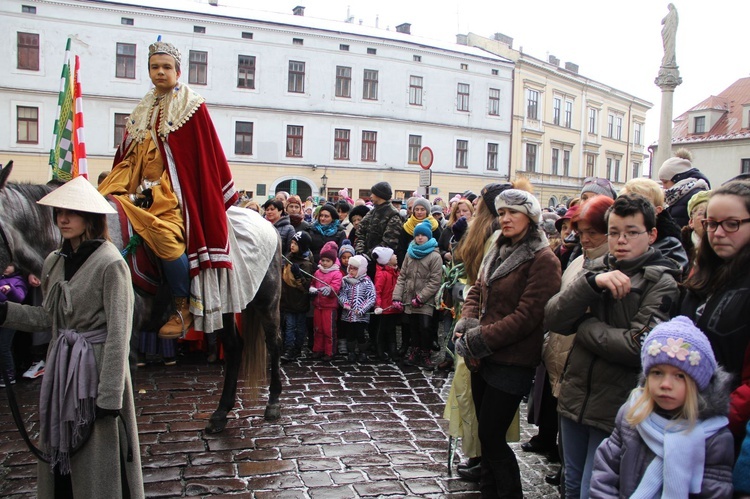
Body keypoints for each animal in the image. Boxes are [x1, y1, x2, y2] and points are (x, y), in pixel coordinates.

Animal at [0, 162, 284, 436]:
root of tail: (268, 226)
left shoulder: (125, 335)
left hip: (266, 302)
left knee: (273, 343)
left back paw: (273, 402)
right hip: (223, 307)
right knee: (235, 347)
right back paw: (220, 413)